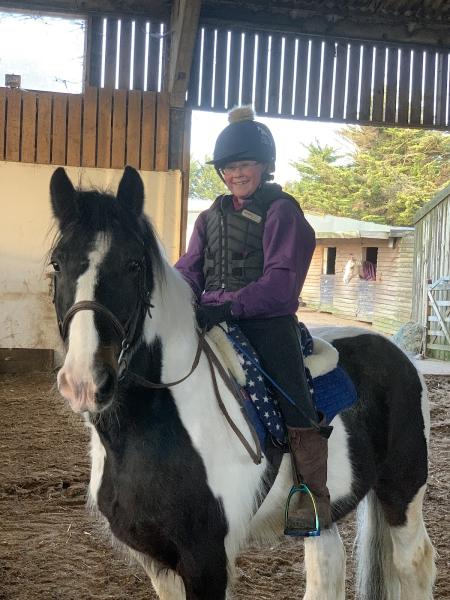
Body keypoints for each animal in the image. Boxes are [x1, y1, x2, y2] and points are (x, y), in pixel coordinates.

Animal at [47, 165, 434, 600]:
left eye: (133, 264)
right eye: (58, 265)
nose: (84, 380)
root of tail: (398, 352)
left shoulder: (206, 560)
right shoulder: (156, 560)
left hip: (403, 488)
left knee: (414, 564)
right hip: (325, 511)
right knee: (328, 567)